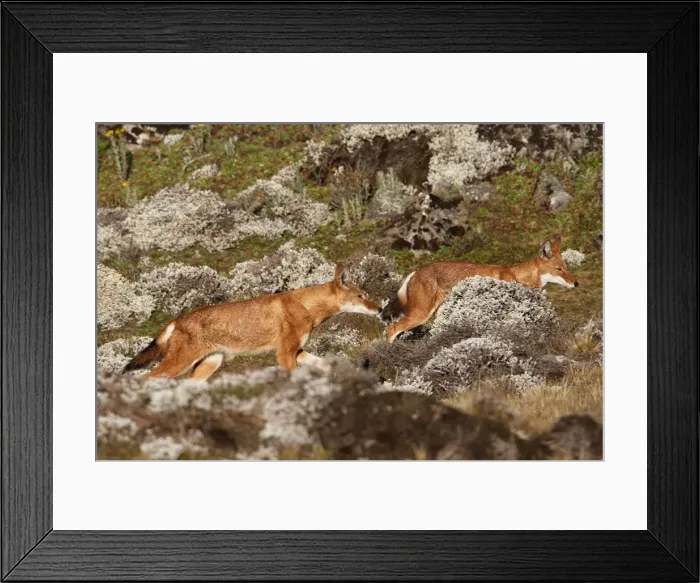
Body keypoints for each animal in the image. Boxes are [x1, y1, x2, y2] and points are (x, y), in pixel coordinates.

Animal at [123, 264, 380, 380]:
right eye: (361, 296)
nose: (379, 309)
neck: (306, 306)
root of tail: (177, 319)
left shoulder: (297, 351)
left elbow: (325, 364)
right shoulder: (284, 355)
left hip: (209, 365)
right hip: (180, 365)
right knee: (145, 379)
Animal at [380, 236, 579, 343]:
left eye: (566, 268)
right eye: (559, 270)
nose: (576, 283)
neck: (519, 277)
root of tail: (416, 271)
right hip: (420, 315)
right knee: (392, 329)